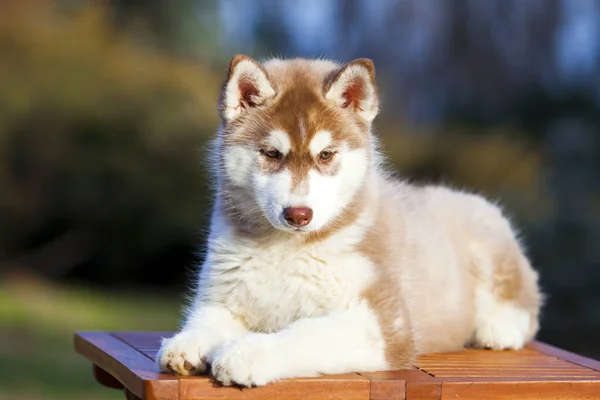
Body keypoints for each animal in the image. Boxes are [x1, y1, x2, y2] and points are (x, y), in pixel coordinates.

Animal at [157, 54, 540, 386]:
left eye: (326, 155)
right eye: (271, 154)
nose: (298, 214)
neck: (286, 248)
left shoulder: (384, 323)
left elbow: (305, 334)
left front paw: (246, 353)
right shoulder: (223, 292)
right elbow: (207, 318)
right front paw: (187, 342)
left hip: (490, 236)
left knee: (527, 303)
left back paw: (498, 328)